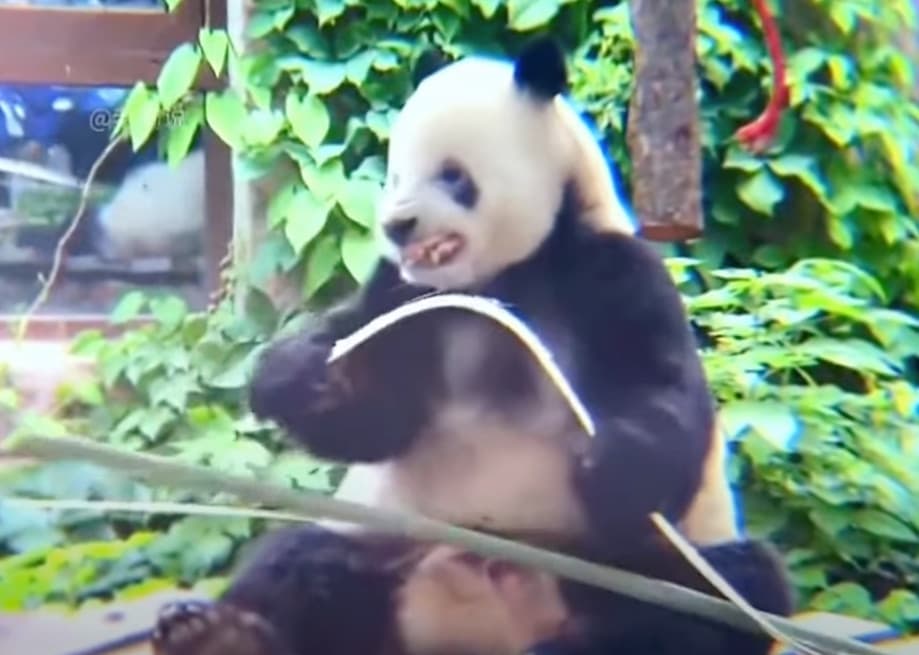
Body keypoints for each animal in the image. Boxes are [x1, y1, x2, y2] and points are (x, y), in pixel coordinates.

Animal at [151, 38, 793, 655]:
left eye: (452, 175)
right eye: (395, 178)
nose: (397, 226)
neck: (498, 277)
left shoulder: (612, 274)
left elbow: (664, 399)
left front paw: (612, 456)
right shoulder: (405, 295)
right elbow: (377, 419)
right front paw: (298, 374)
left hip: (610, 568)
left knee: (722, 594)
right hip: (392, 541)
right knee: (300, 560)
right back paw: (216, 635)